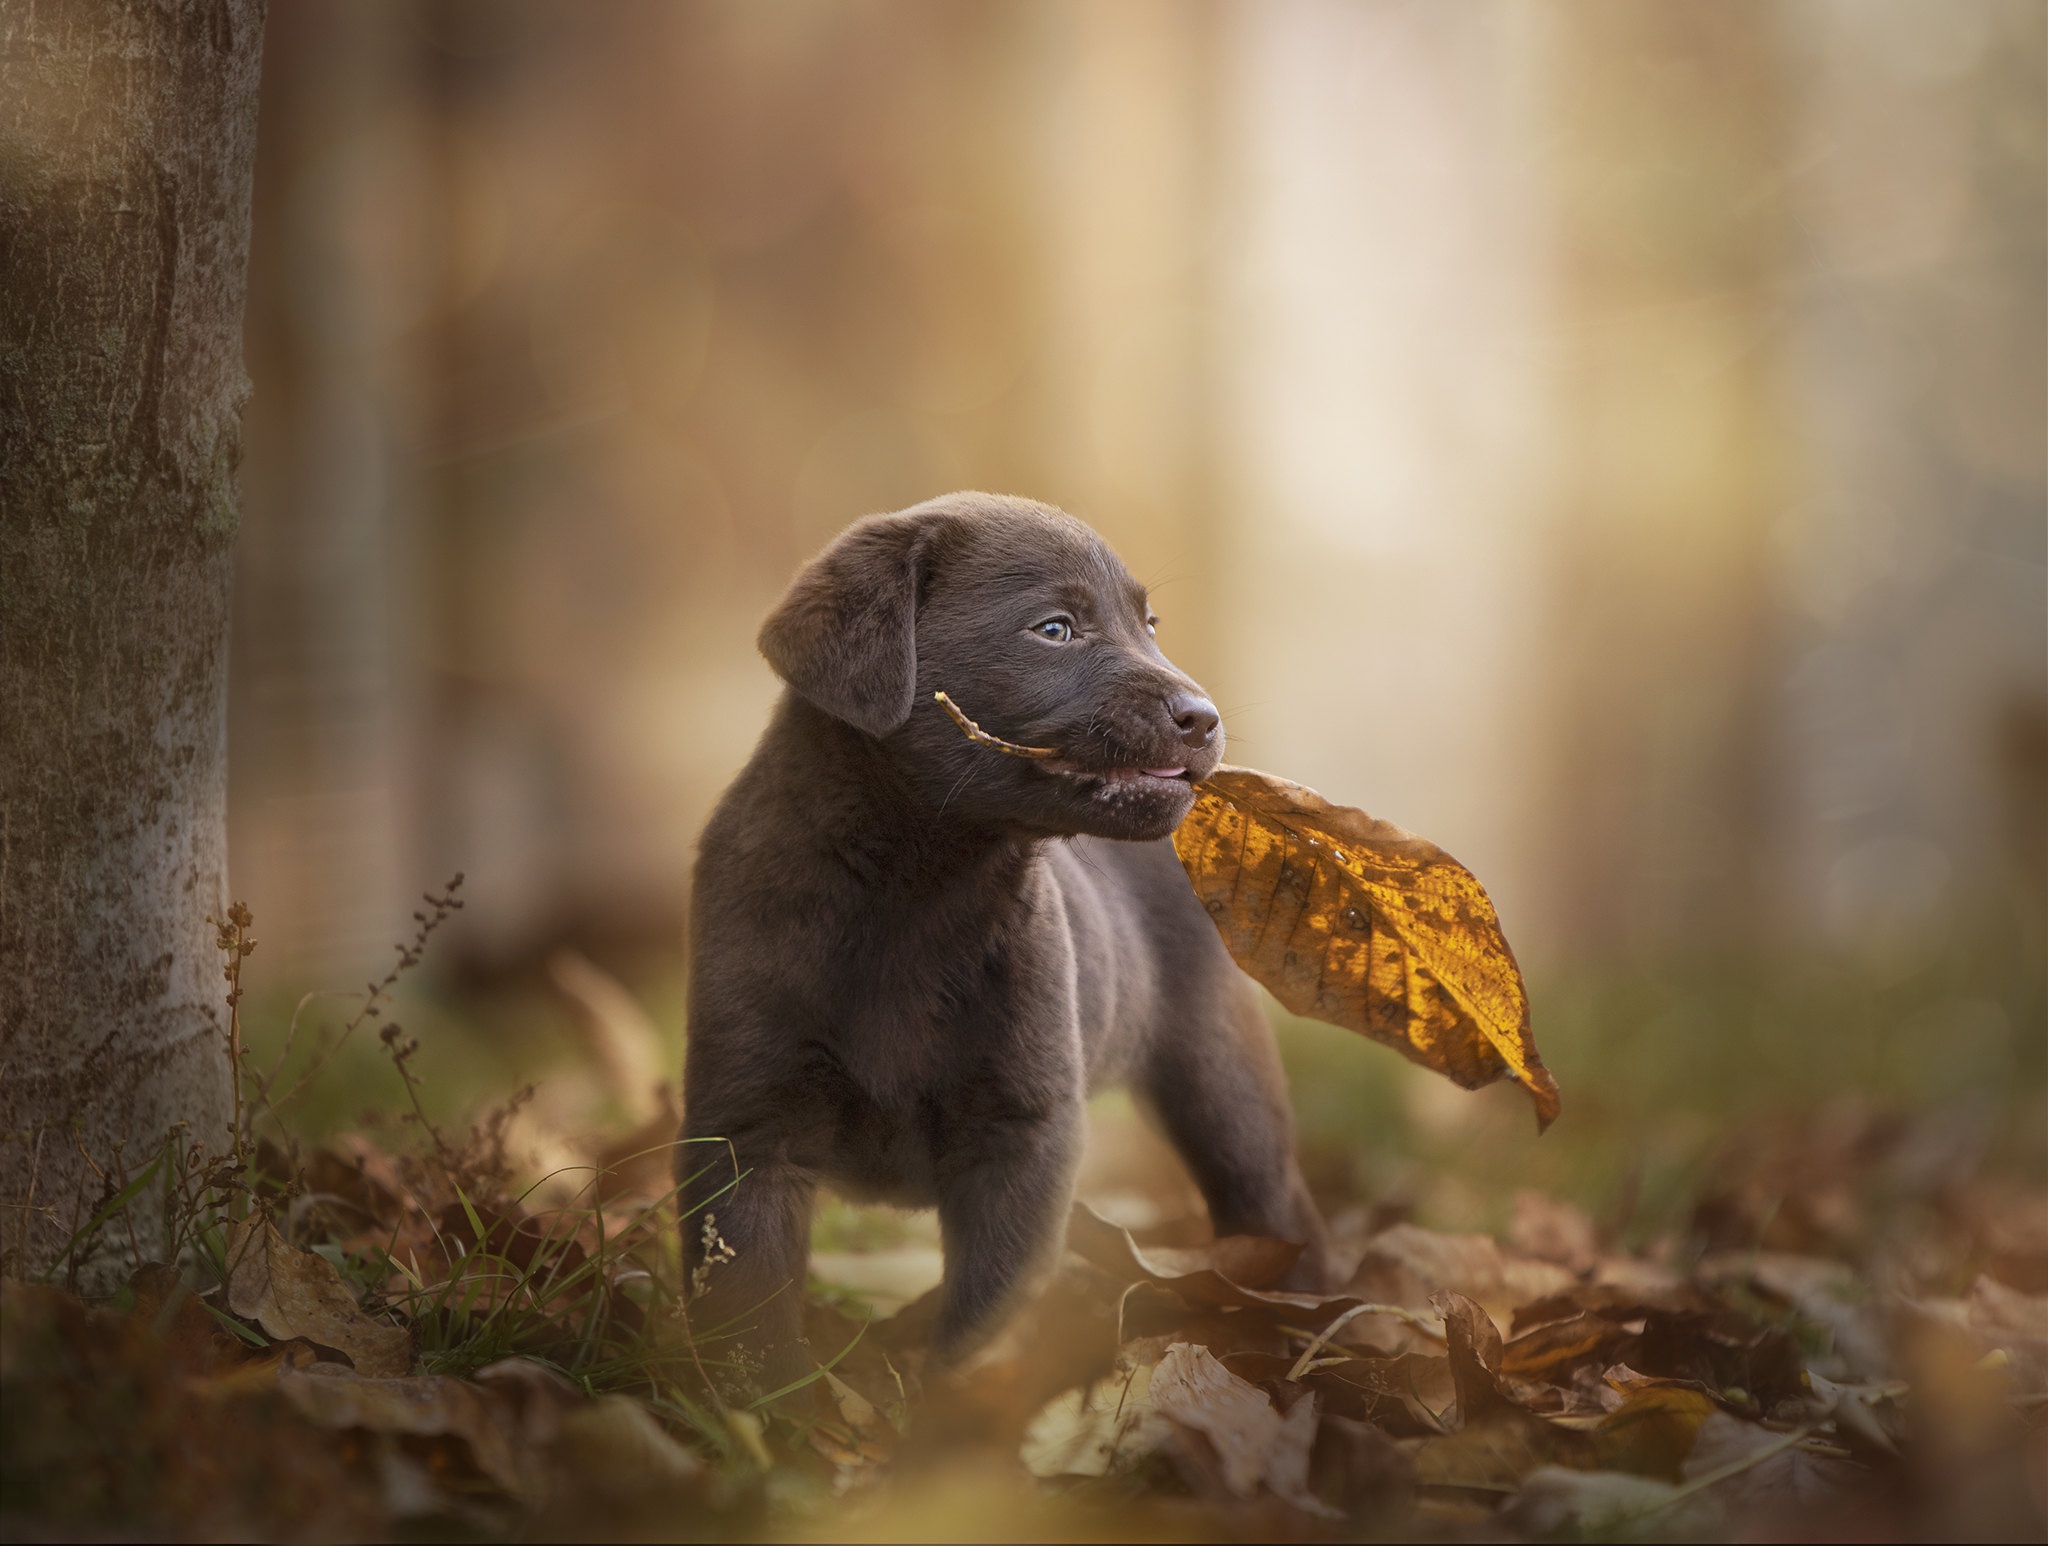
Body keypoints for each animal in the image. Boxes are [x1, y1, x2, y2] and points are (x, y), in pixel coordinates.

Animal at [679, 489, 1335, 1384]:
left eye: (1149, 623)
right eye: (1054, 628)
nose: (1204, 718)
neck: (912, 897)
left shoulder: (1023, 1135)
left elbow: (985, 1316)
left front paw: (945, 1409)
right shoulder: (745, 1125)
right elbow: (747, 1310)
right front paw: (771, 1410)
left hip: (1224, 1081)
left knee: (1276, 1203)